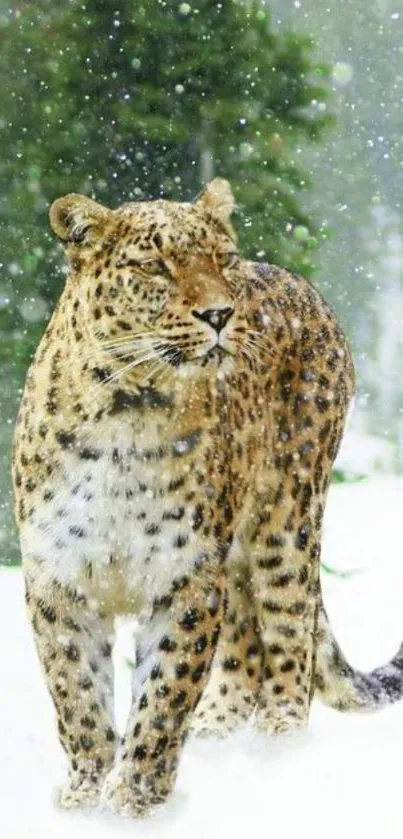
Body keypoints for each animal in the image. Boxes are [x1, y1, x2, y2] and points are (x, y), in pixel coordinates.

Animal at [11, 180, 403, 816]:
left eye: (223, 260)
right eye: (154, 266)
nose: (220, 314)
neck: (128, 411)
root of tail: (302, 284)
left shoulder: (186, 576)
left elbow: (163, 694)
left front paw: (134, 800)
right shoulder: (60, 578)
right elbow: (78, 695)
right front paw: (86, 795)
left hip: (286, 521)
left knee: (289, 637)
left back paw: (276, 750)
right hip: (237, 553)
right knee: (245, 642)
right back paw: (218, 734)